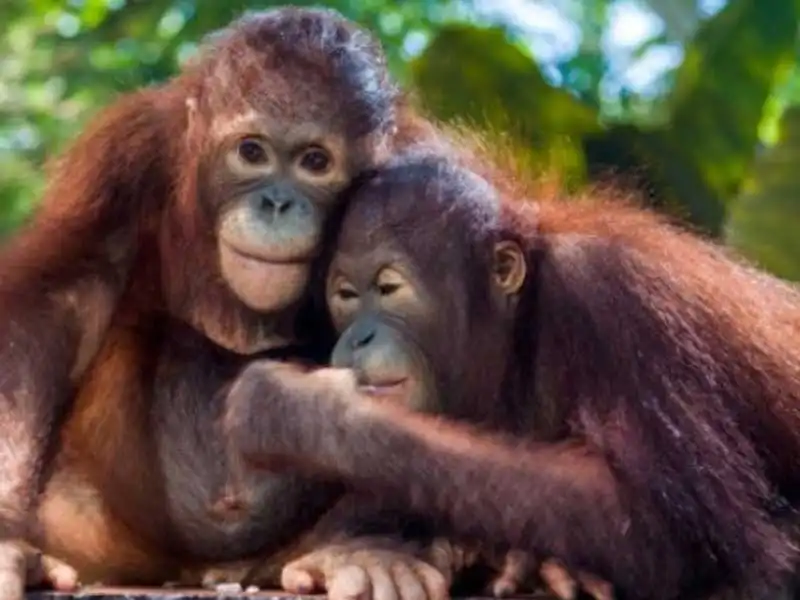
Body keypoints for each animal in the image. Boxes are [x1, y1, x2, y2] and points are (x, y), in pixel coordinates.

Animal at [223, 144, 800, 600]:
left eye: (387, 288)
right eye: (345, 296)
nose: (356, 337)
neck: (525, 324)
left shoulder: (622, 303)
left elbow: (671, 525)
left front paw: (295, 411)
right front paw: (368, 552)